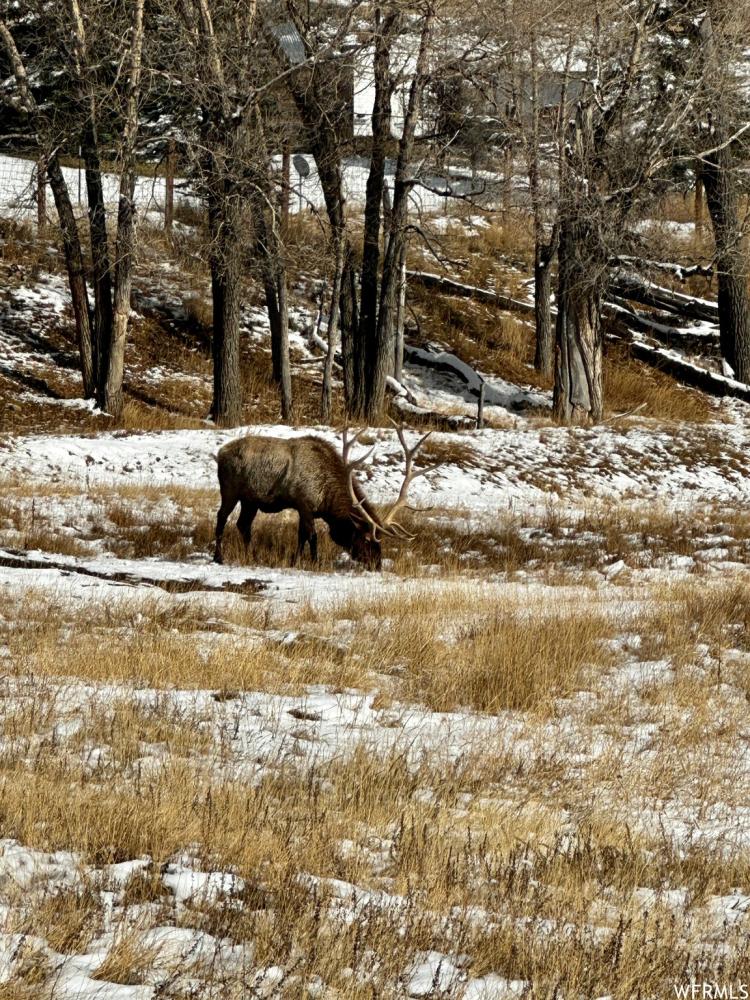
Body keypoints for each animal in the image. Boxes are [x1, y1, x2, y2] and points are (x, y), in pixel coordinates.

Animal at [214, 424, 438, 572]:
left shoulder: (307, 509)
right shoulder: (303, 502)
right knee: (221, 518)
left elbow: (303, 536)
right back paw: (219, 557)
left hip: (250, 500)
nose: (377, 565)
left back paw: (253, 556)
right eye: (367, 540)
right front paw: (313, 562)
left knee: (243, 525)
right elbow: (311, 536)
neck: (328, 503)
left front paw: (298, 561)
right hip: (230, 490)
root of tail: (220, 453)